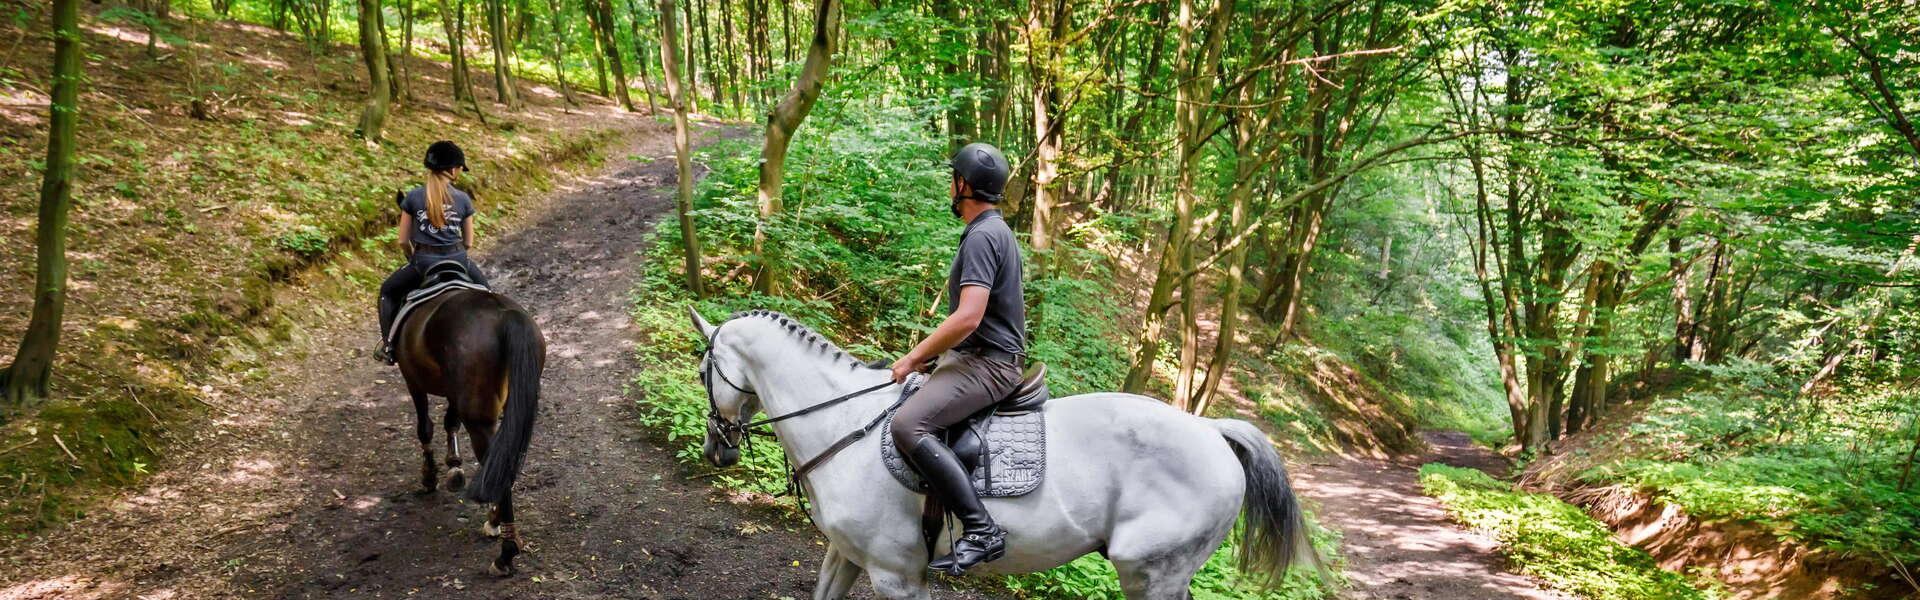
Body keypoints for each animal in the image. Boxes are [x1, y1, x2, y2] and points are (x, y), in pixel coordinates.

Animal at [389, 288, 541, 580]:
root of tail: (505, 315)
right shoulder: (452, 390)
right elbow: (450, 420)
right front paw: (453, 466)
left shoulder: (412, 380)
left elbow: (424, 427)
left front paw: (430, 476)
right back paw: (495, 523)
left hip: (479, 419)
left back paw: (505, 554)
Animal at [687, 309, 1320, 600]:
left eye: (702, 372)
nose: (716, 449)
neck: (844, 426)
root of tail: (1211, 431)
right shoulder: (845, 554)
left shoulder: (896, 575)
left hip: (1149, 572)